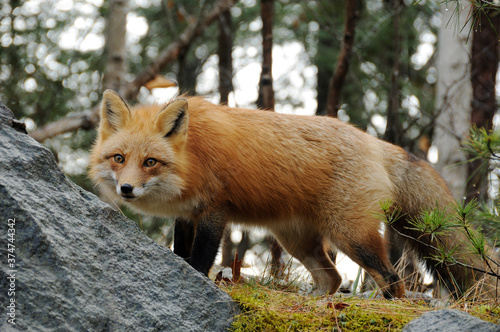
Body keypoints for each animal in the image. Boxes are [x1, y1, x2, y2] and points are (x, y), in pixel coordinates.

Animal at [91, 89, 496, 298]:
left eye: (151, 162)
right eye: (119, 158)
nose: (126, 189)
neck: (194, 156)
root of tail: (376, 143)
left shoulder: (213, 212)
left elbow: (199, 260)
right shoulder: (186, 215)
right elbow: (181, 253)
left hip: (352, 237)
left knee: (392, 281)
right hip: (297, 241)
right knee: (332, 279)